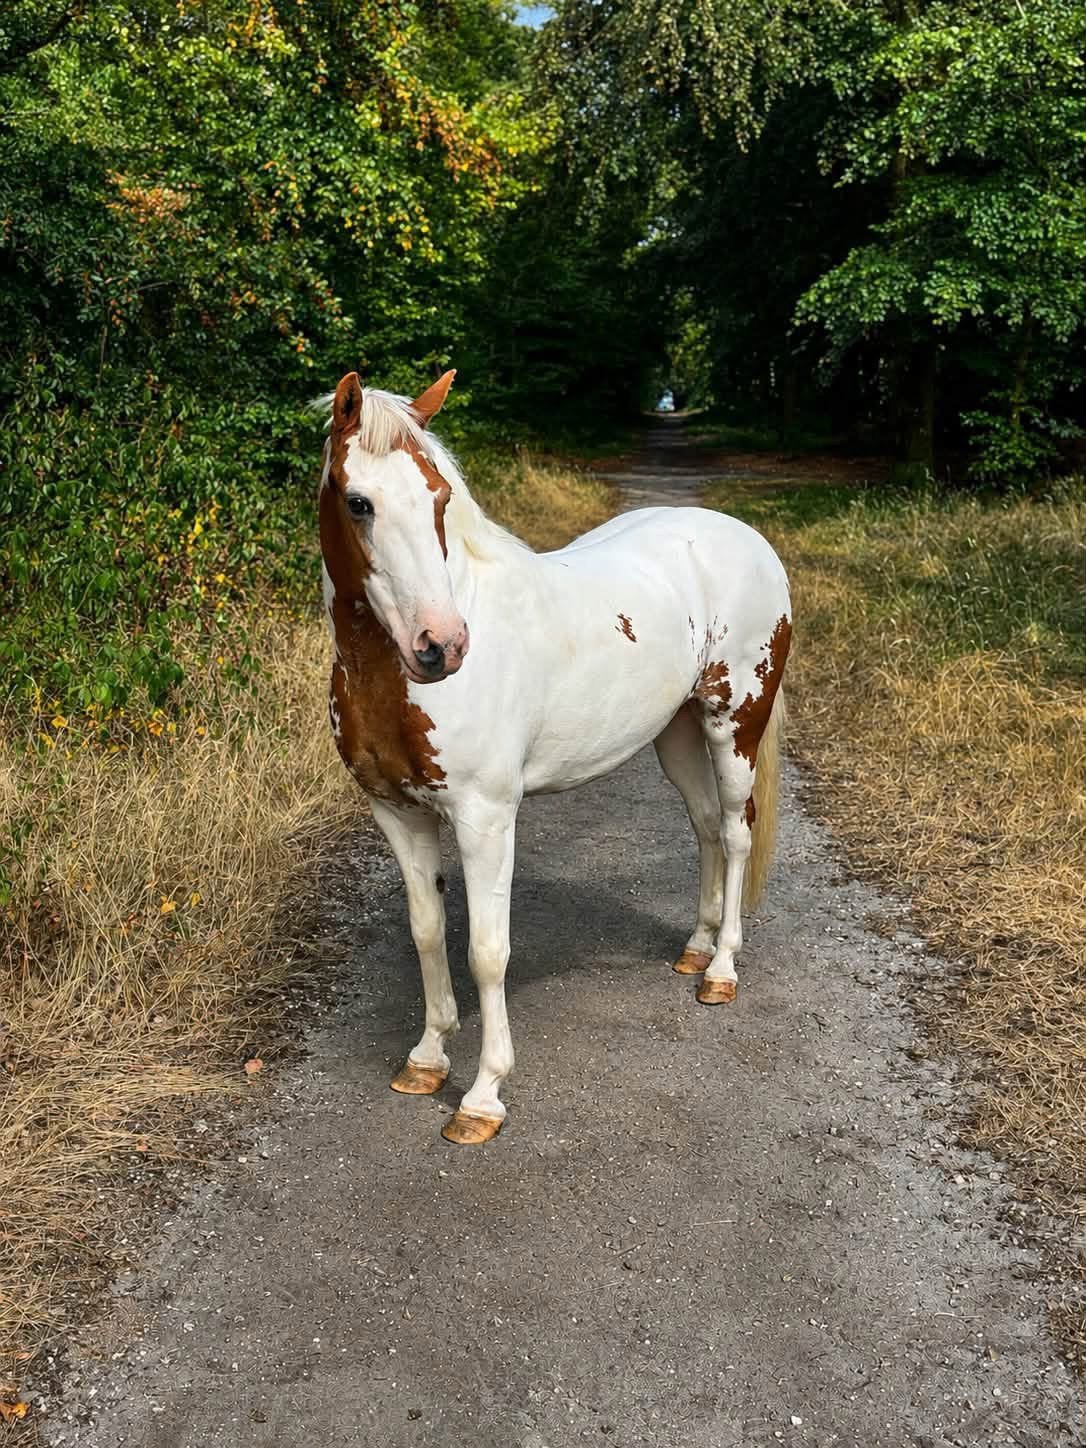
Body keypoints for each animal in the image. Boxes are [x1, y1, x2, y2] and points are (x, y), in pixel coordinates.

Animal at [318, 370, 791, 1145]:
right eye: (359, 502)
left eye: (440, 496)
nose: (441, 646)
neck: (389, 675)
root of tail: (747, 539)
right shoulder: (396, 813)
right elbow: (426, 932)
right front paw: (426, 1059)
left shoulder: (485, 816)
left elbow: (487, 951)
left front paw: (483, 1097)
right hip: (676, 732)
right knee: (703, 828)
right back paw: (694, 947)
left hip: (734, 723)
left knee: (735, 830)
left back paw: (720, 970)